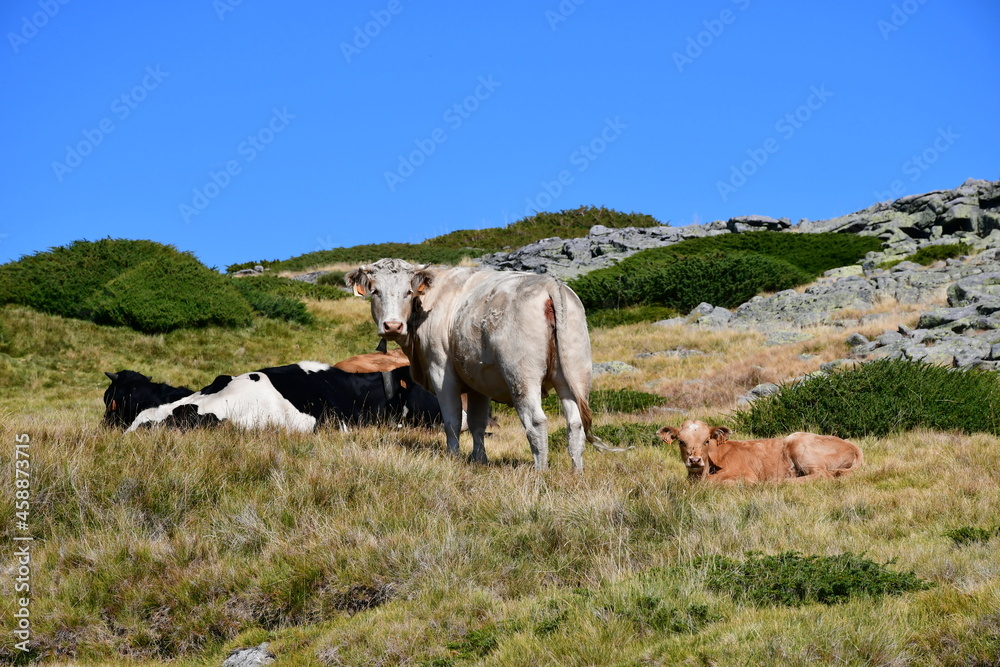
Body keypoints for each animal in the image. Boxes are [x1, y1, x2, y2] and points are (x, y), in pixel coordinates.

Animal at [346, 258, 626, 471]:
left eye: (408, 292)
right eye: (376, 291)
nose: (392, 326)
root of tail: (549, 284)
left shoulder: (442, 374)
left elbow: (453, 421)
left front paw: (453, 459)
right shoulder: (477, 382)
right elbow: (477, 423)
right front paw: (479, 460)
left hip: (522, 377)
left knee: (536, 422)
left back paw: (540, 471)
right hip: (574, 375)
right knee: (575, 424)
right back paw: (576, 471)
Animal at [656, 419, 863, 483]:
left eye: (707, 440)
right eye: (681, 441)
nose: (695, 460)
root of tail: (851, 445)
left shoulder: (746, 474)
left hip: (798, 442)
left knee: (820, 475)